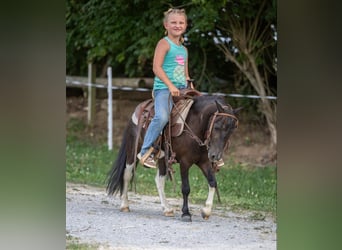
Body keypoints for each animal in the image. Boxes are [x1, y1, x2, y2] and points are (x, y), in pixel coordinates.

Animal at [107, 94, 240, 221]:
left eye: (231, 130)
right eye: (217, 126)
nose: (215, 155)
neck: (196, 126)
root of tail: (139, 108)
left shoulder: (204, 161)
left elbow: (213, 182)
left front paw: (206, 211)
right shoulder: (185, 162)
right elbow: (186, 188)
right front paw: (186, 213)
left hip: (162, 158)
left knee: (159, 180)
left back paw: (167, 209)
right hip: (133, 151)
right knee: (127, 174)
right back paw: (124, 205)